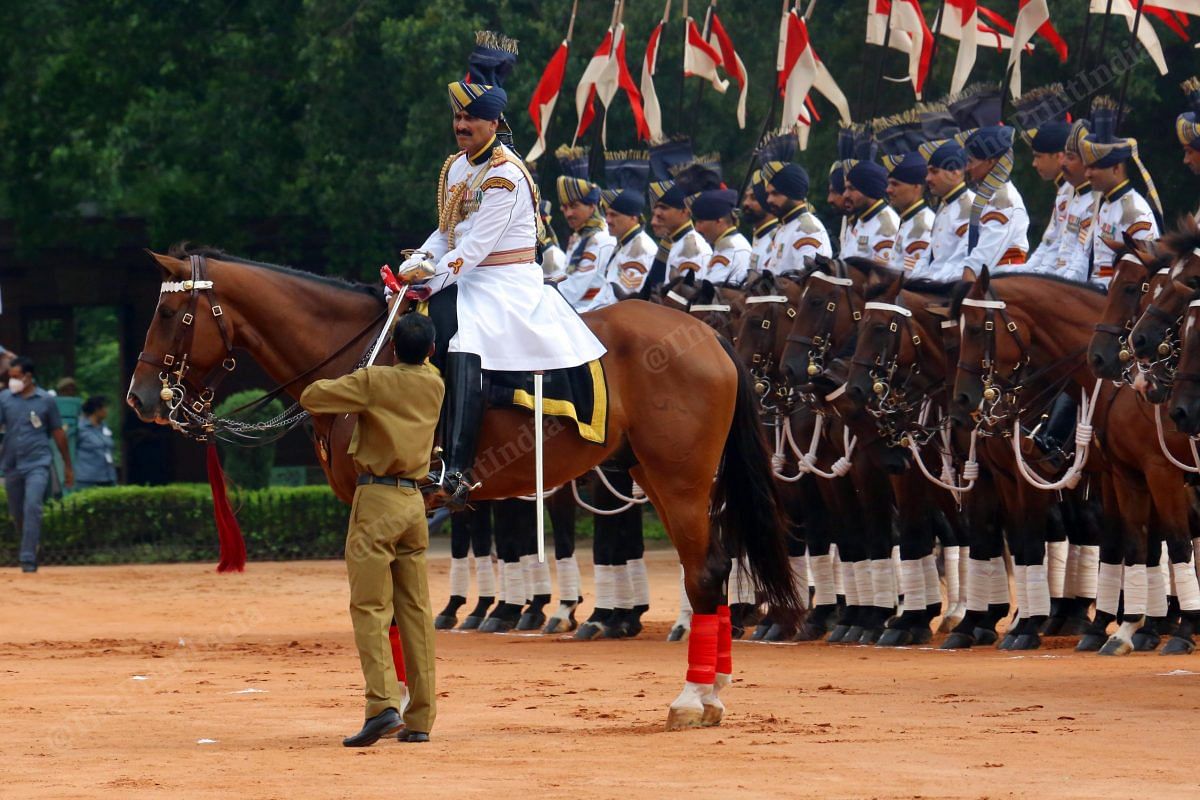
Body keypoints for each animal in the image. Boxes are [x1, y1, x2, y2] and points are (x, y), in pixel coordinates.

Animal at [124, 247, 796, 729]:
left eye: (169, 315)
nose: (139, 399)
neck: (359, 356)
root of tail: (708, 336)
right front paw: (403, 697)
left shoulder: (382, 499)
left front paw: (392, 706)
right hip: (659, 477)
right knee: (716, 565)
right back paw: (714, 689)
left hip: (679, 479)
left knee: (704, 572)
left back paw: (691, 697)